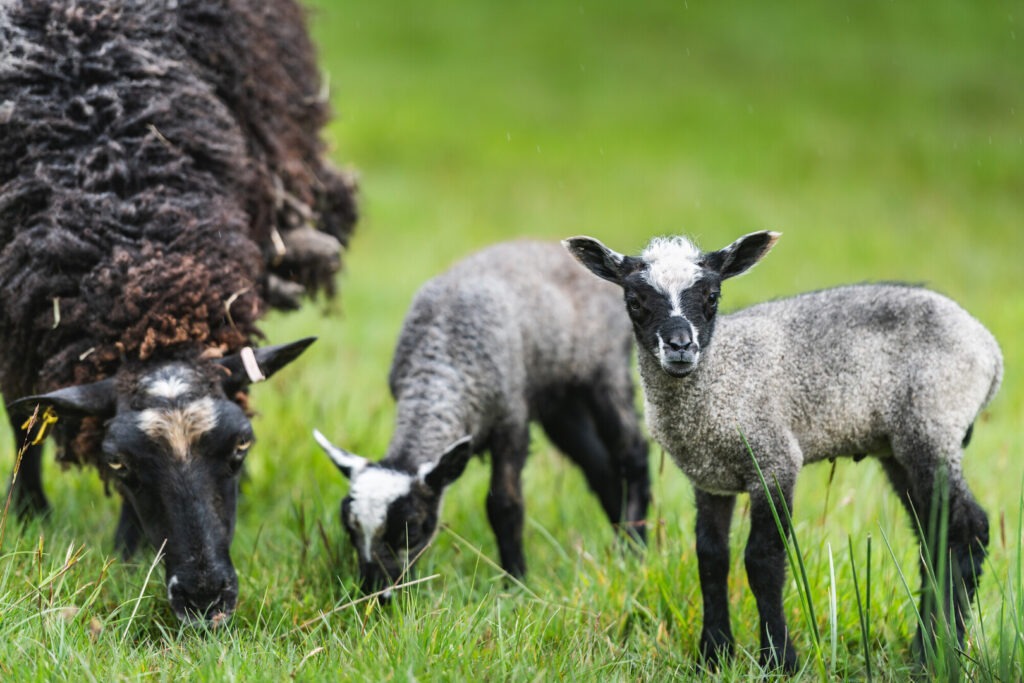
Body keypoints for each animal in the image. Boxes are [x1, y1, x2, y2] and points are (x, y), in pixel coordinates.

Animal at [1, 0, 357, 623]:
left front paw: (128, 551)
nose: (204, 596)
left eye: (240, 448)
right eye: (119, 464)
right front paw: (28, 516)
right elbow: (22, 419)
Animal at [313, 240, 650, 595]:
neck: (443, 360)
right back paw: (621, 542)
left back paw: (637, 546)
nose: (377, 593)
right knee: (600, 469)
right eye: (350, 530)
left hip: (605, 370)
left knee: (633, 455)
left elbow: (504, 505)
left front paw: (515, 582)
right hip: (562, 403)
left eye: (413, 529)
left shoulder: (511, 421)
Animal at [565, 231, 1002, 672]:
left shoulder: (773, 459)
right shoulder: (709, 477)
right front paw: (714, 654)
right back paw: (924, 649)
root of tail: (990, 349)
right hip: (899, 447)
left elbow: (763, 560)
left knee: (968, 529)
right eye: (635, 301)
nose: (680, 346)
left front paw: (778, 659)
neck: (720, 379)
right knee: (934, 536)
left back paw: (940, 654)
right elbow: (711, 557)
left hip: (933, 423)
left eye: (711, 296)